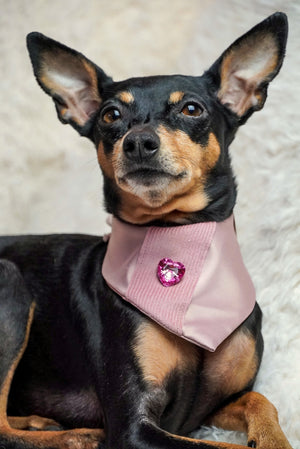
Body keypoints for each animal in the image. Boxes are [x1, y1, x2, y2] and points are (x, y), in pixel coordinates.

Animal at [0, 10, 292, 448]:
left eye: (191, 109)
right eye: (110, 115)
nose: (138, 142)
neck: (180, 241)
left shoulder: (214, 405)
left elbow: (261, 400)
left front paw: (273, 439)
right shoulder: (134, 425)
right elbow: (215, 447)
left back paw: (40, 422)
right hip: (10, 281)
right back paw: (76, 436)